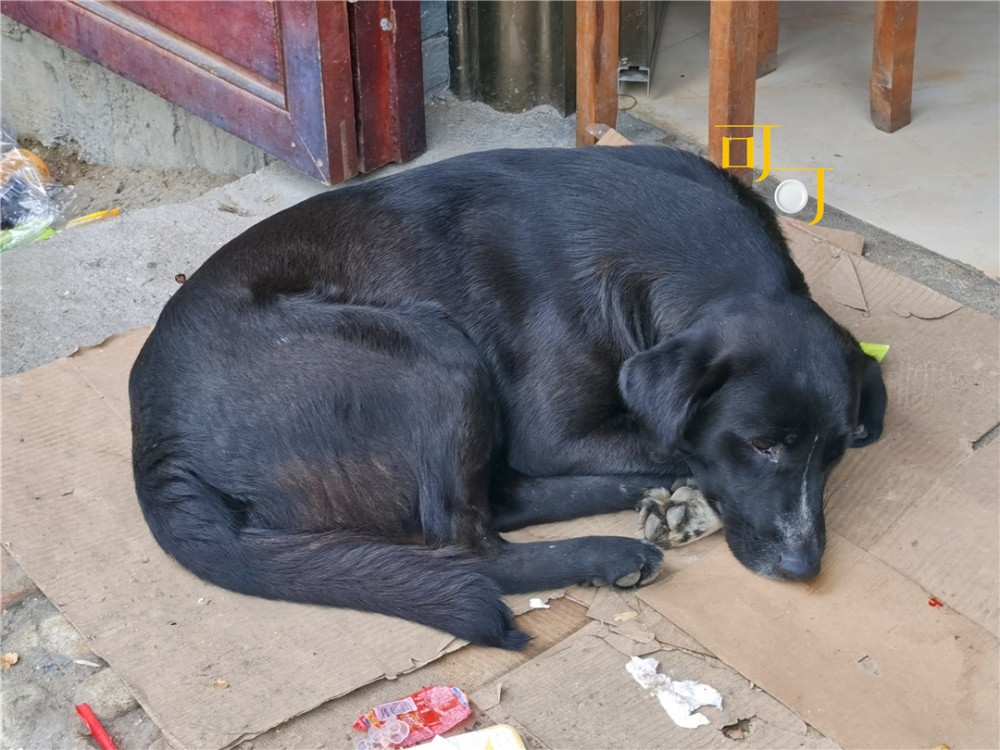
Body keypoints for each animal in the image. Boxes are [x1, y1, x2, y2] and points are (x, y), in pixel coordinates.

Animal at [129, 145, 888, 648]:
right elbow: (672, 444)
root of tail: (156, 444)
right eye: (762, 446)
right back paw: (608, 554)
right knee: (467, 543)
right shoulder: (554, 433)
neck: (688, 250)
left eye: (838, 453)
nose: (803, 567)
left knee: (502, 500)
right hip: (436, 351)